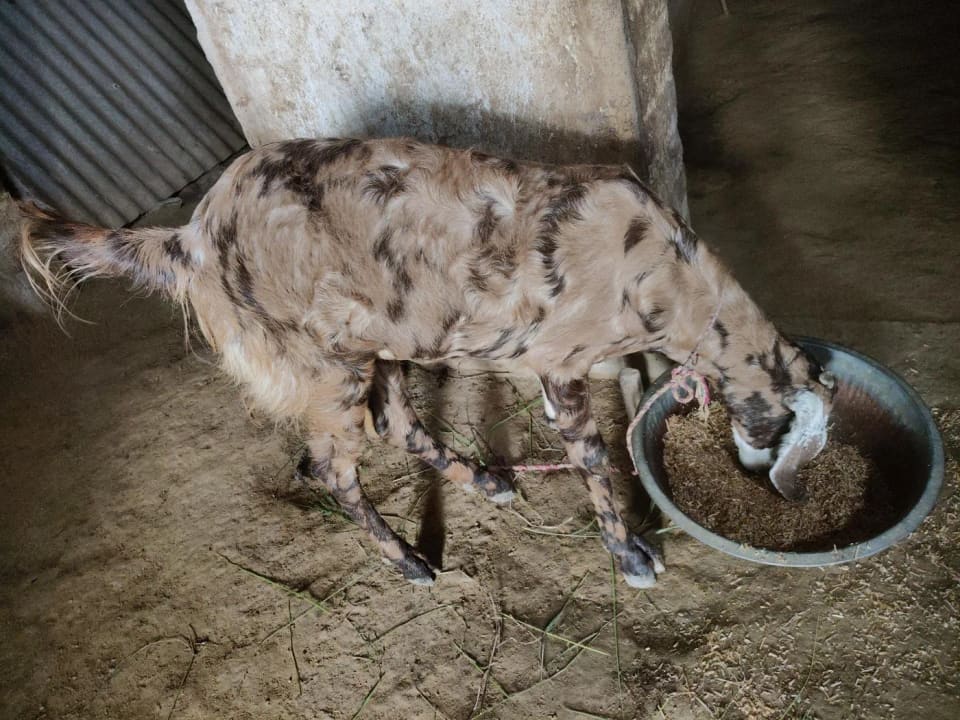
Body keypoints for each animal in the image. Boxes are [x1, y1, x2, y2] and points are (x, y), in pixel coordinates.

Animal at [18, 137, 836, 588]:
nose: (773, 485)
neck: (655, 266)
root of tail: (188, 238)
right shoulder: (560, 365)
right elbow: (594, 460)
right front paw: (631, 557)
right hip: (328, 366)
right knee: (334, 467)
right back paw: (411, 562)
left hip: (378, 343)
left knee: (397, 427)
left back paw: (484, 481)